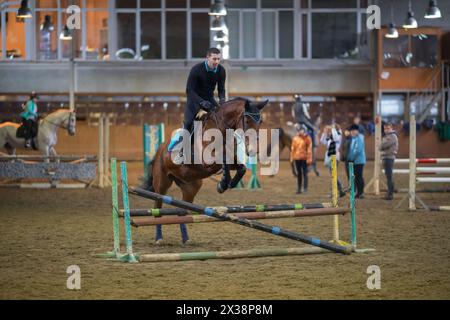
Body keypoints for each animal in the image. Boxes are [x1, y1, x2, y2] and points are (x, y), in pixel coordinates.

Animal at [144, 97, 268, 242]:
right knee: (157, 209)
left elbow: (240, 168)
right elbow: (223, 159)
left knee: (182, 212)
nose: (254, 150)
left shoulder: (231, 160)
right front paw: (223, 183)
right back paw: (159, 238)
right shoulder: (207, 160)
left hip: (191, 187)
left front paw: (228, 183)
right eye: (247, 121)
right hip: (161, 185)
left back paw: (186, 239)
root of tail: (159, 150)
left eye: (260, 121)